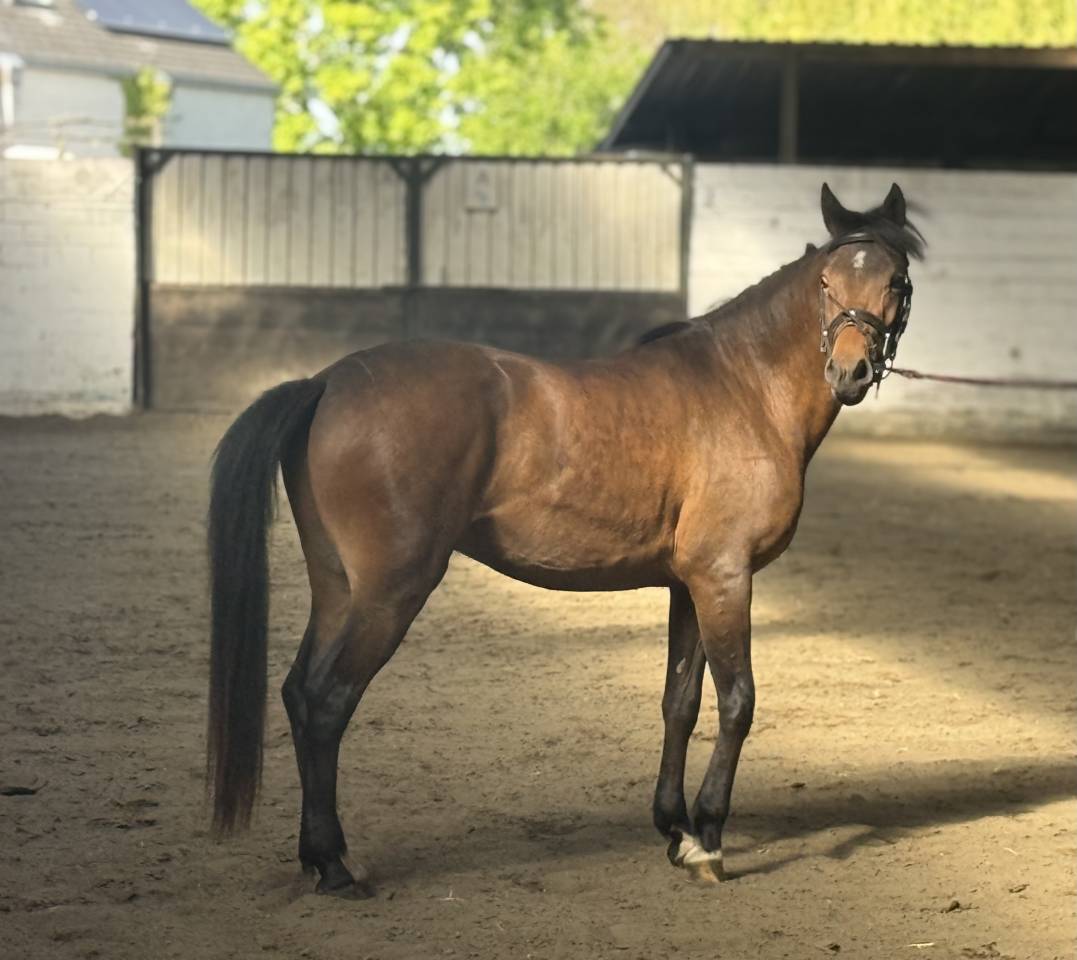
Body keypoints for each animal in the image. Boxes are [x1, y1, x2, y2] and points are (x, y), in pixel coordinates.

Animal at [207, 182, 923, 898]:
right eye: (827, 281)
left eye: (895, 279)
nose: (851, 372)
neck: (744, 388)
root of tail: (326, 382)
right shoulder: (725, 576)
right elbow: (737, 702)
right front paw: (711, 837)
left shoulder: (688, 582)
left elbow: (680, 702)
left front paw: (676, 830)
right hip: (390, 592)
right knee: (328, 702)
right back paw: (334, 864)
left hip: (337, 589)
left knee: (300, 694)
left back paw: (318, 855)